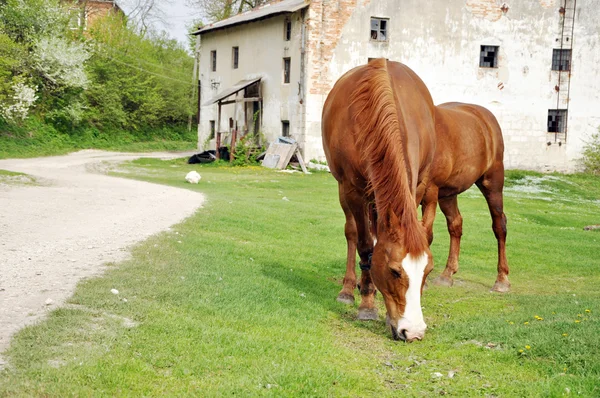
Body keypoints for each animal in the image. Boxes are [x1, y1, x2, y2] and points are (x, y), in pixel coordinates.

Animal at [324, 59, 436, 342]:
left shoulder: (417, 186)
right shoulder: (352, 189)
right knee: (353, 233)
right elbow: (365, 245)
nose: (413, 331)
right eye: (395, 271)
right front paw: (366, 304)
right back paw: (349, 289)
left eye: (427, 271)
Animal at [420, 101, 508, 290]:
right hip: (447, 194)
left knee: (499, 225)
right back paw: (447, 274)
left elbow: (425, 234)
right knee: (455, 224)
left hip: (493, 184)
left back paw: (502, 280)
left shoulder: (429, 192)